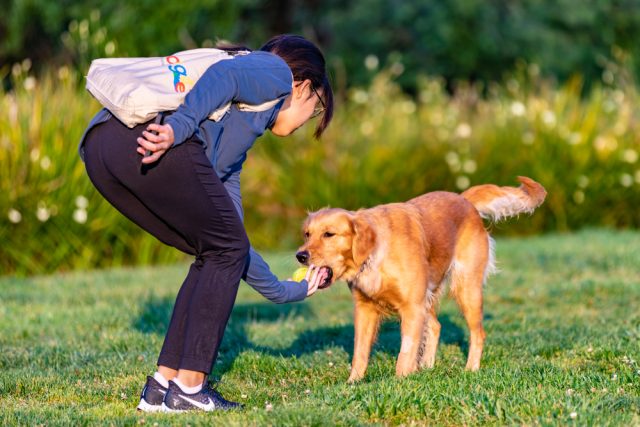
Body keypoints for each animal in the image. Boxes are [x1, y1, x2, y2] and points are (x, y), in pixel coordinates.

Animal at [296, 176, 544, 382]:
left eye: (329, 234)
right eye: (307, 234)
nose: (300, 255)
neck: (376, 254)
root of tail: (464, 199)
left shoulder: (412, 307)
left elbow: (405, 352)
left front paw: (400, 381)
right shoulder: (365, 308)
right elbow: (360, 352)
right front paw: (353, 383)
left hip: (465, 289)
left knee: (477, 333)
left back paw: (471, 369)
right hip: (430, 294)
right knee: (435, 326)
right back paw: (426, 367)